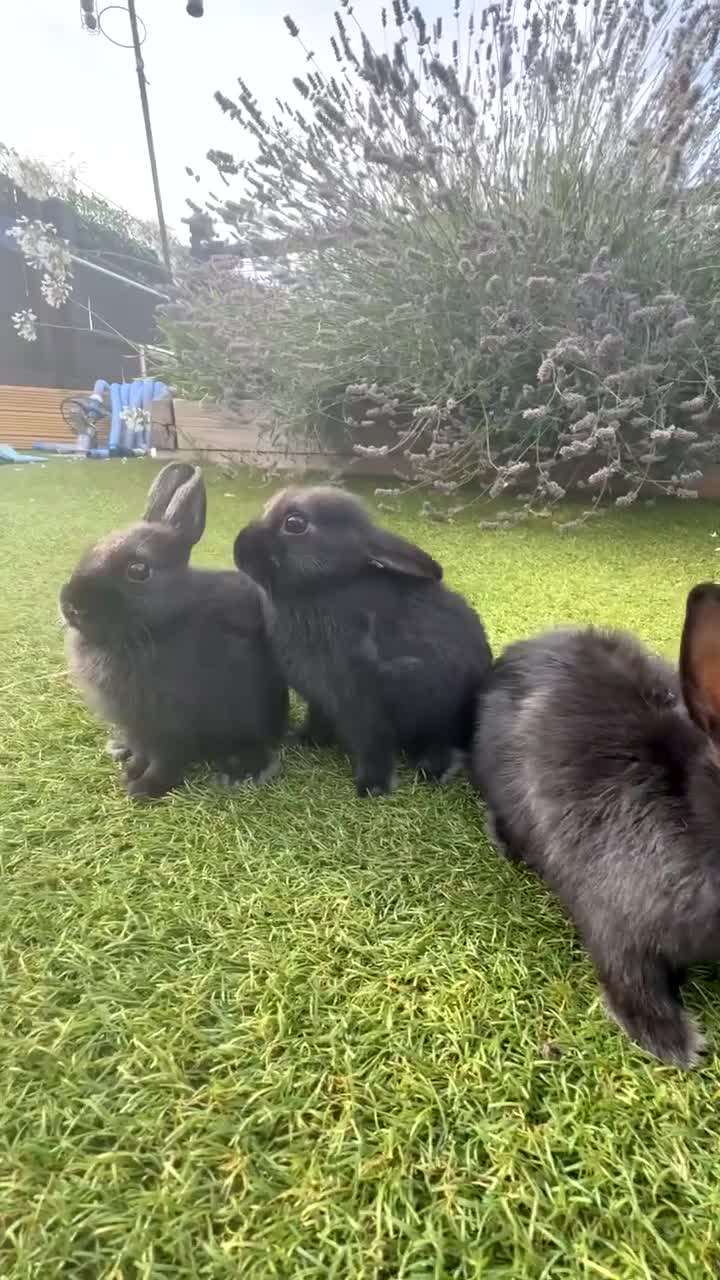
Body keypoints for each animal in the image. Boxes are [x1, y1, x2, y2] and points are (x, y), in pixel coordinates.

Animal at [60, 462, 288, 800]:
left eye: (139, 570)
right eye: (91, 550)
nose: (71, 603)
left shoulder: (170, 727)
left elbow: (165, 761)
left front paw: (143, 789)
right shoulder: (139, 727)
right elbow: (144, 753)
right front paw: (131, 772)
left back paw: (242, 773)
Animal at [233, 485, 492, 797]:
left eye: (294, 523)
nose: (237, 548)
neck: (321, 588)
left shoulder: (363, 703)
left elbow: (373, 745)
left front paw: (372, 787)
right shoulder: (321, 699)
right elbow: (318, 719)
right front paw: (305, 739)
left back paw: (434, 770)